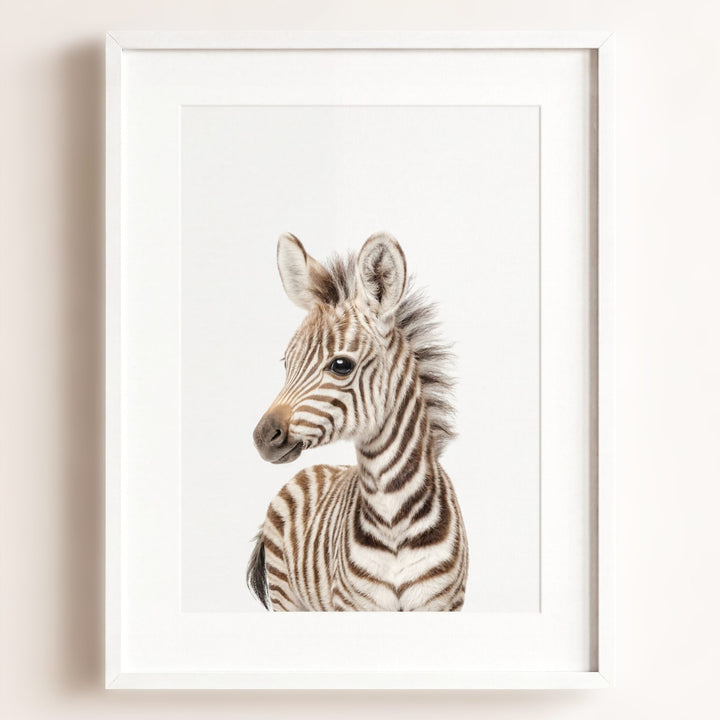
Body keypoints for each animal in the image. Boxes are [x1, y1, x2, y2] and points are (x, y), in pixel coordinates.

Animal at [247, 231, 469, 611]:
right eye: (286, 362)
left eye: (341, 365)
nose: (262, 436)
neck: (393, 516)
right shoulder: (354, 605)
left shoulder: (443, 604)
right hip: (286, 596)